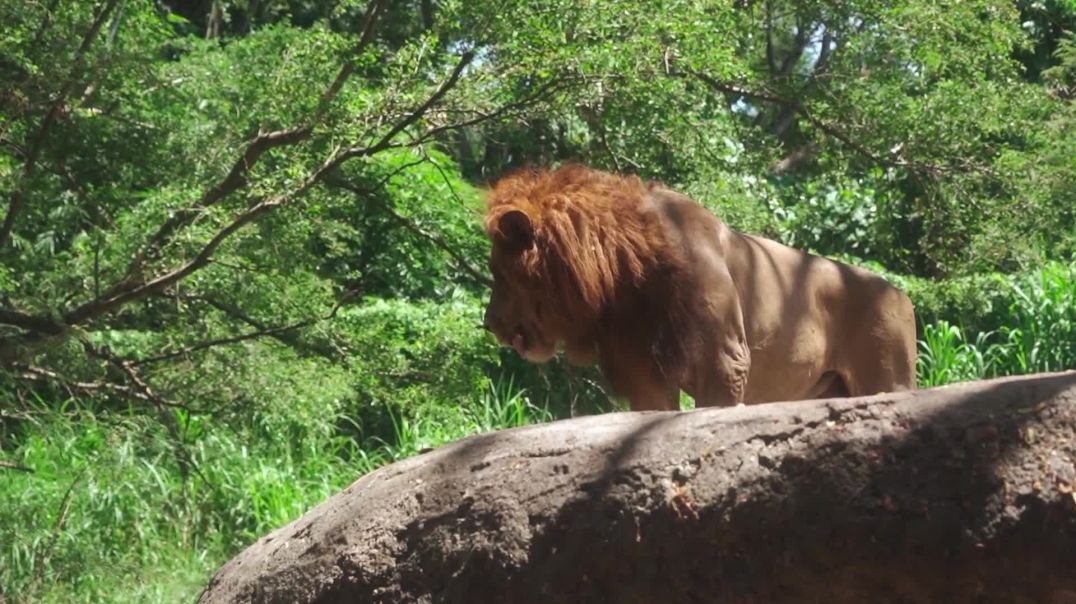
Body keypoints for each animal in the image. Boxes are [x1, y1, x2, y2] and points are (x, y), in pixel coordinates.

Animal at [482, 165, 917, 411]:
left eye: (498, 274)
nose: (488, 323)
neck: (621, 279)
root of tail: (901, 294)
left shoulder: (724, 361)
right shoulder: (643, 370)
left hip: (888, 377)